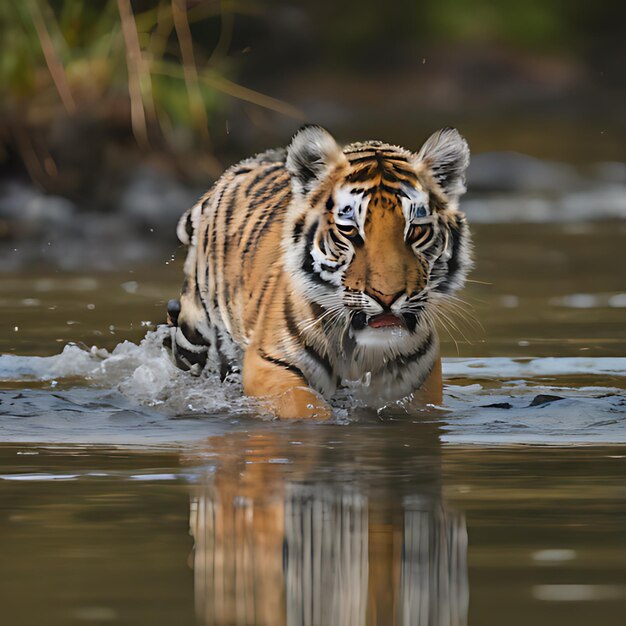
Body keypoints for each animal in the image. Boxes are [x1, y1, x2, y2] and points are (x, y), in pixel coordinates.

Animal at [166, 124, 468, 416]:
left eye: (415, 230)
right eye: (350, 230)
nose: (387, 297)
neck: (359, 351)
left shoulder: (419, 378)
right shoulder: (268, 362)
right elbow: (306, 407)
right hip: (193, 334)